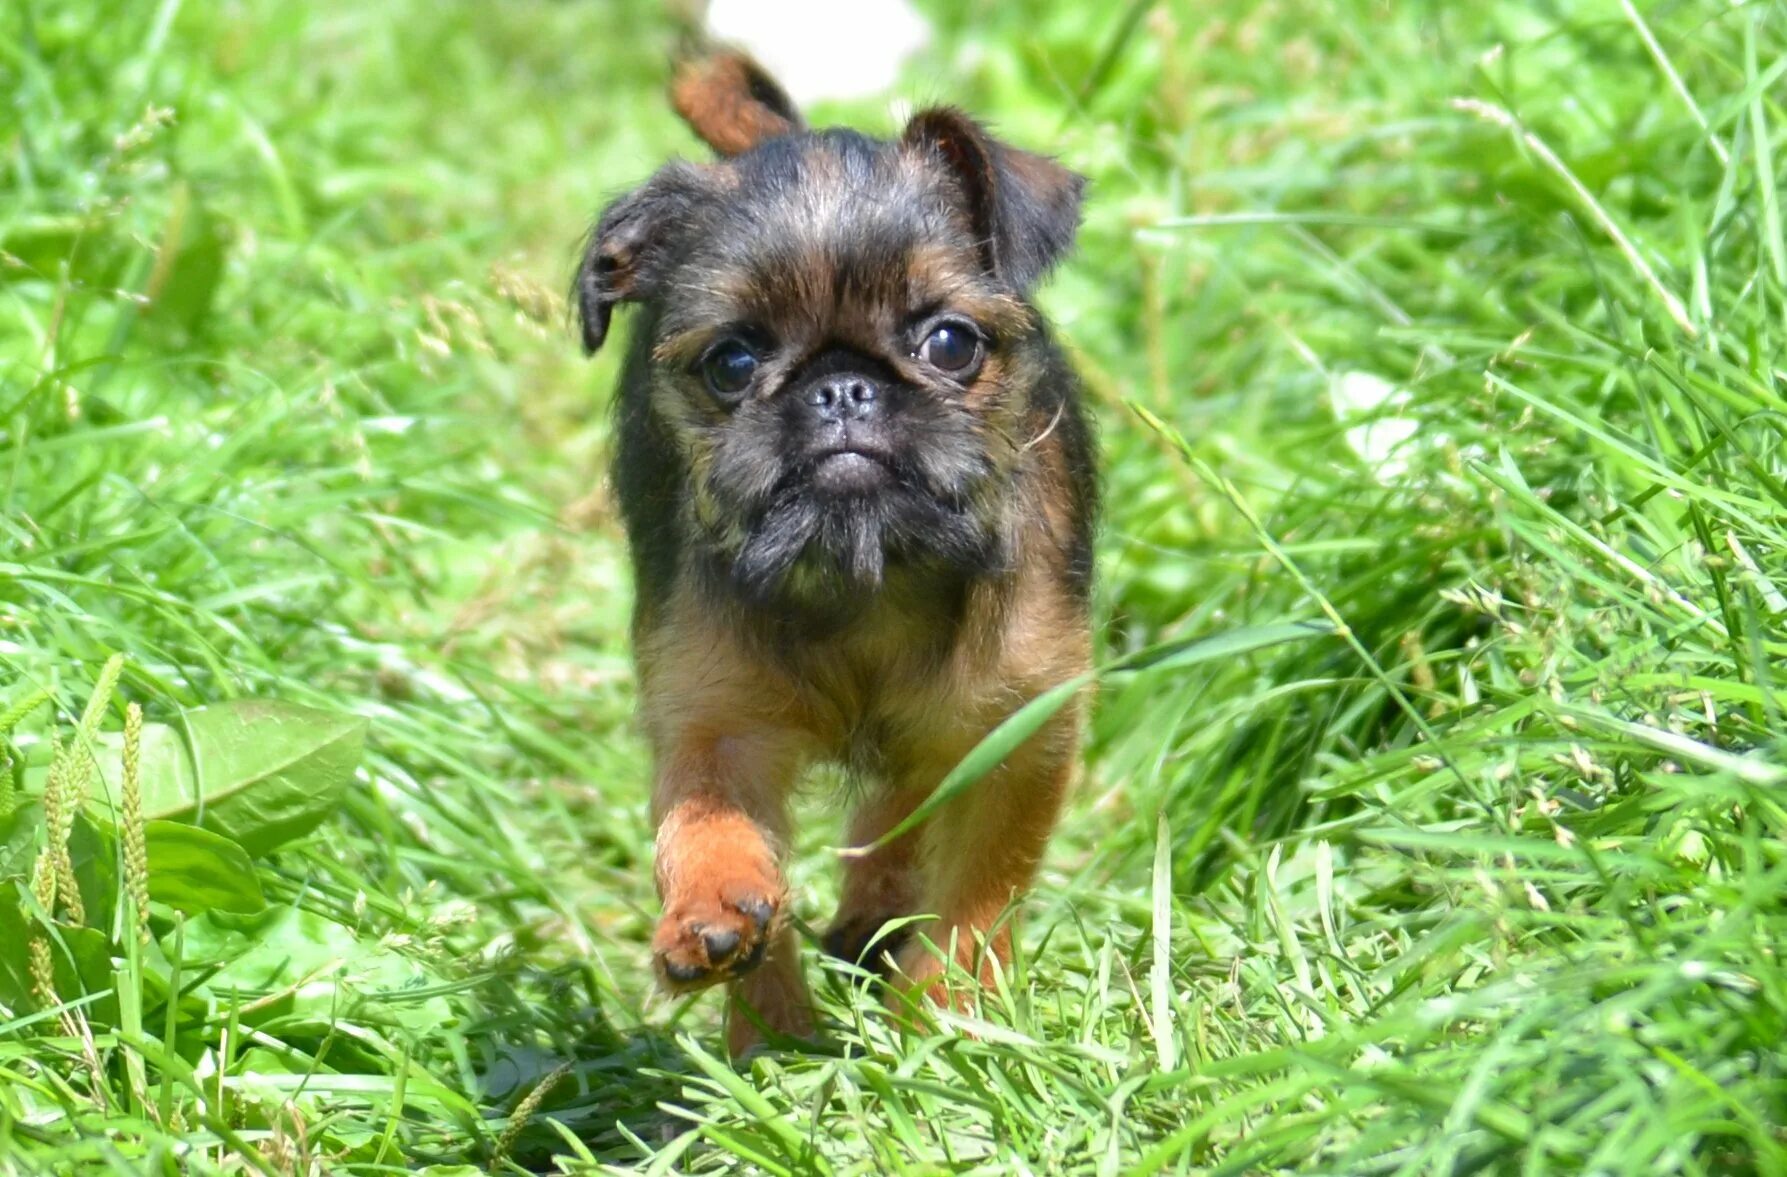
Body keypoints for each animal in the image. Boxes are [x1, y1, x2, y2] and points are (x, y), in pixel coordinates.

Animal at [578, 52, 1093, 1057]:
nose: (842, 387)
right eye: (732, 364)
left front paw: (947, 1022)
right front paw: (768, 1037)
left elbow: (978, 895)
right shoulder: (711, 718)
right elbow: (705, 823)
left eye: (948, 342)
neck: (868, 575)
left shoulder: (1017, 732)